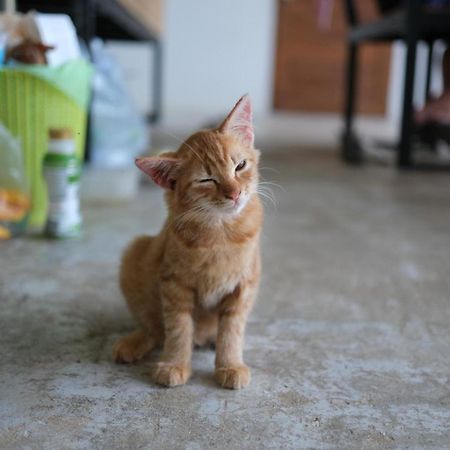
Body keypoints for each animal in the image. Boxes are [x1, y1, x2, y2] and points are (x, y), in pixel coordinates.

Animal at [113, 96, 264, 390]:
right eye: (207, 179)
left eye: (240, 166)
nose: (235, 193)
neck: (220, 232)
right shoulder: (174, 284)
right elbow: (179, 328)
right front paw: (175, 364)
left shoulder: (244, 285)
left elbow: (232, 329)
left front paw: (230, 364)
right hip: (134, 255)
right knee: (153, 328)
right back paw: (133, 342)